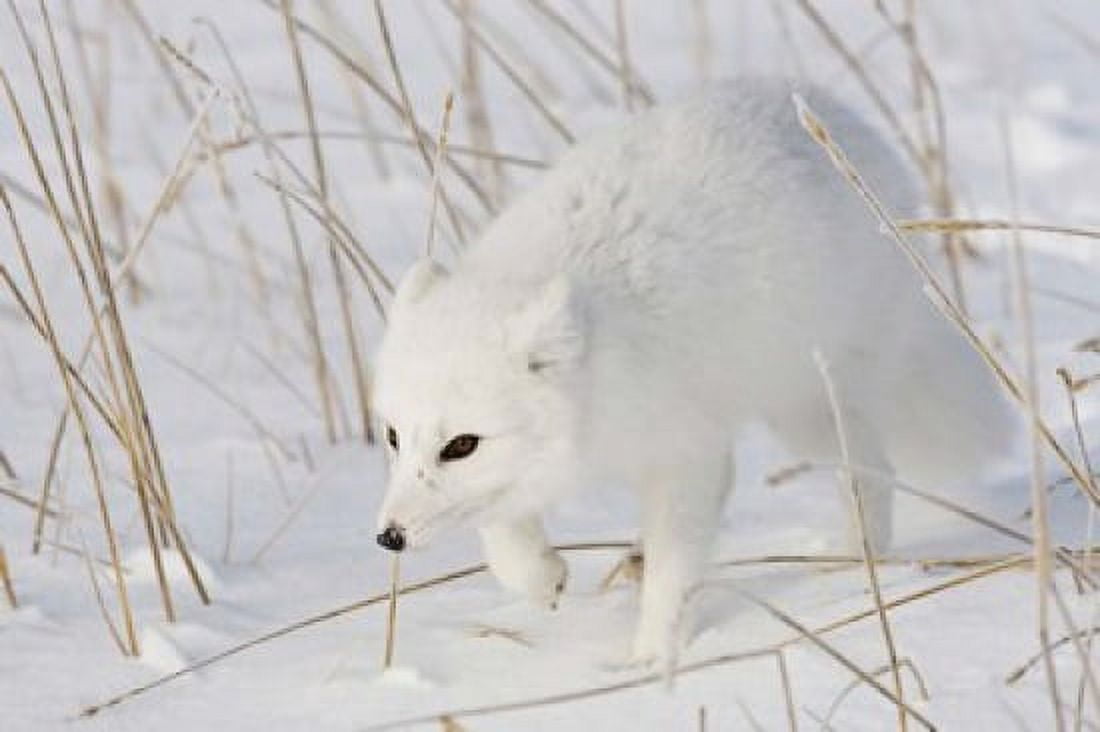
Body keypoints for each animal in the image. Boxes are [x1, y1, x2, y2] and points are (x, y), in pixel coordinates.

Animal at [371, 77, 1012, 665]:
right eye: (393, 436)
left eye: (460, 445)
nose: (388, 537)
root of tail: (826, 105)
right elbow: (501, 533)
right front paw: (542, 578)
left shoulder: (687, 456)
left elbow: (674, 570)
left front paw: (655, 660)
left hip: (808, 406)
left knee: (871, 472)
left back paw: (856, 560)